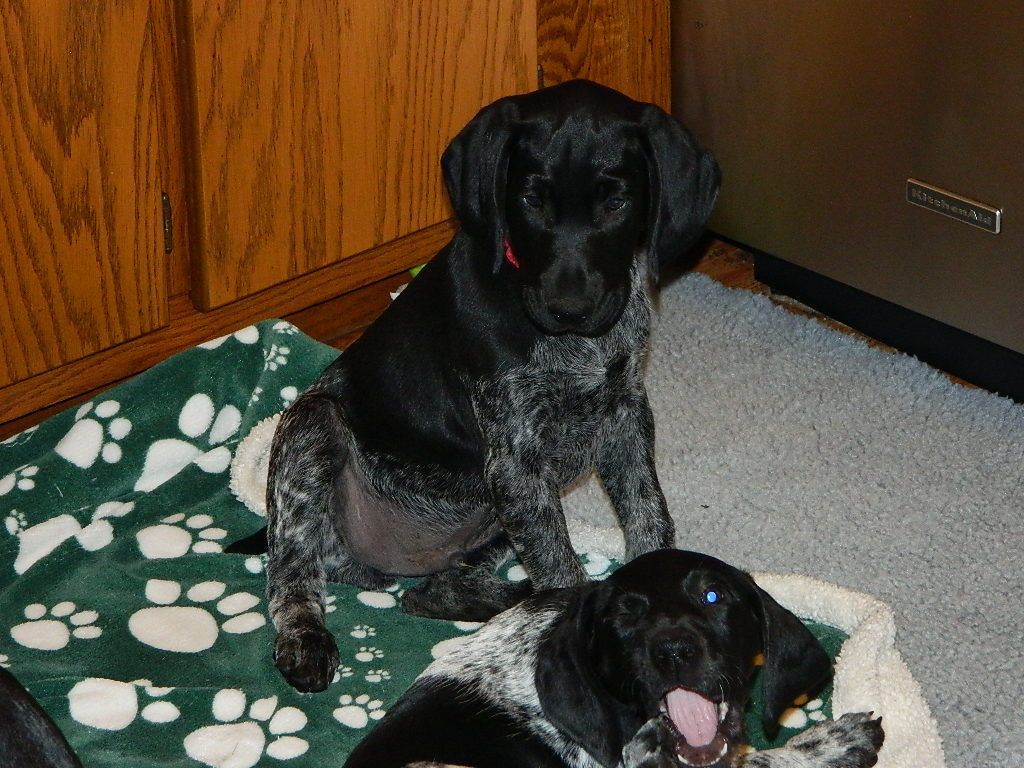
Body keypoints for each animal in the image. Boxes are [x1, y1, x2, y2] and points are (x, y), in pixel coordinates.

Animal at [227, 79, 721, 692]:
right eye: (531, 201)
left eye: (617, 203)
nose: (569, 308)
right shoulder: (515, 460)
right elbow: (560, 563)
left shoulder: (625, 414)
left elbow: (649, 516)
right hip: (314, 431)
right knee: (292, 571)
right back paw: (304, 638)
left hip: (488, 519)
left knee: (428, 594)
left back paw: (505, 603)